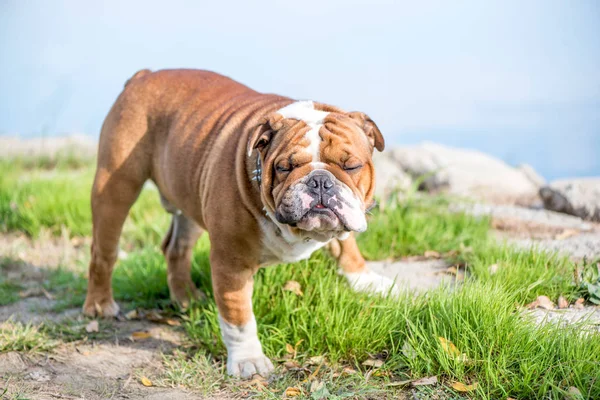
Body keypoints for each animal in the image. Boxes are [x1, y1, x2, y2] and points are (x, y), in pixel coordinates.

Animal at [82, 69, 396, 378]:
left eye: (351, 166)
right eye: (284, 167)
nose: (319, 181)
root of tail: (143, 76)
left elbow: (347, 245)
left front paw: (365, 280)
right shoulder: (231, 262)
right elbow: (239, 316)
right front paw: (248, 360)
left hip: (191, 194)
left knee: (176, 248)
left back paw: (186, 297)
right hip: (115, 187)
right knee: (103, 252)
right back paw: (100, 305)